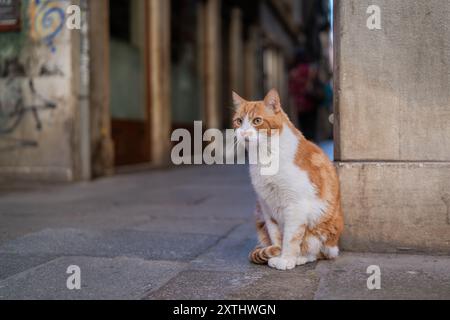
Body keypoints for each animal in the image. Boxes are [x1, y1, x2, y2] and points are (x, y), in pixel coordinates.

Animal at [234, 88, 342, 270]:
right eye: (239, 121)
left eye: (257, 121)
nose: (243, 132)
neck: (264, 156)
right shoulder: (267, 206)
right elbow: (276, 234)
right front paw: (277, 253)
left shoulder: (296, 205)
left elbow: (291, 237)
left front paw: (286, 259)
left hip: (321, 233)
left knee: (317, 252)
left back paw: (300, 258)